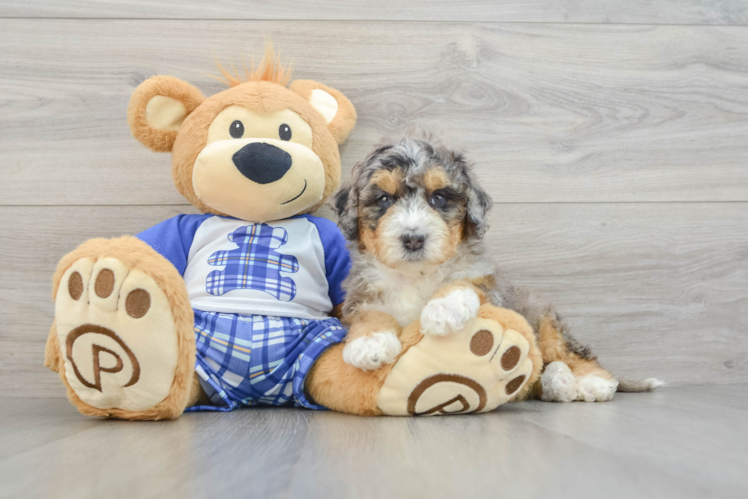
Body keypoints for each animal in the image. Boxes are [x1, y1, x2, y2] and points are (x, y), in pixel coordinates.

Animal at [334, 135, 660, 400]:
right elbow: (368, 314)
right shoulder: (358, 294)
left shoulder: (490, 288)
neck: (417, 275)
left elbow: (465, 282)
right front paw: (370, 343)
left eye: (438, 198)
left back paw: (592, 382)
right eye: (384, 199)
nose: (413, 238)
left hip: (546, 322)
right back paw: (558, 383)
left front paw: (444, 309)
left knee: (574, 354)